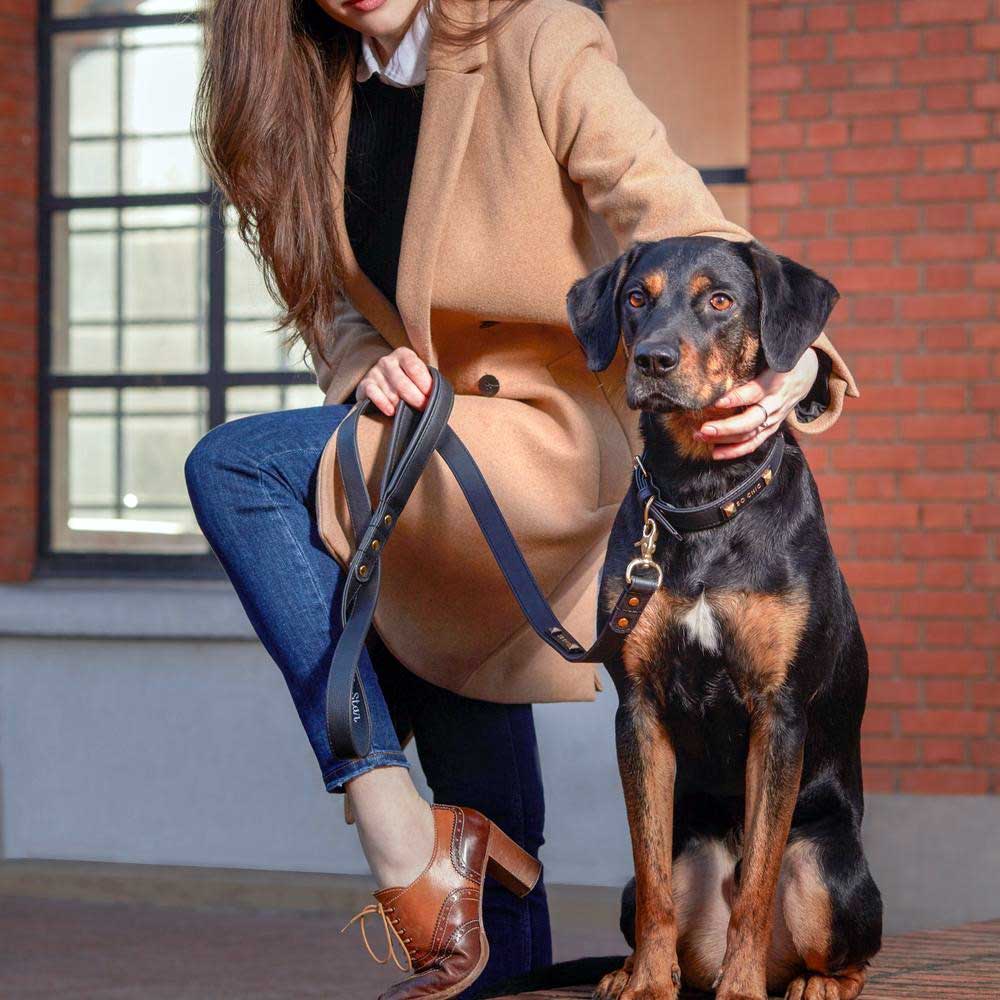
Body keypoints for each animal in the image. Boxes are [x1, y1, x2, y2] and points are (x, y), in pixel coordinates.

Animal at [566, 237, 883, 1000]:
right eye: (635, 298)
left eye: (720, 301)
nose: (653, 360)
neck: (700, 495)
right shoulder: (639, 709)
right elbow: (653, 879)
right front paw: (648, 983)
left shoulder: (779, 711)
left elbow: (759, 885)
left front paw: (741, 990)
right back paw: (628, 972)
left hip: (828, 869)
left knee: (845, 949)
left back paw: (808, 983)